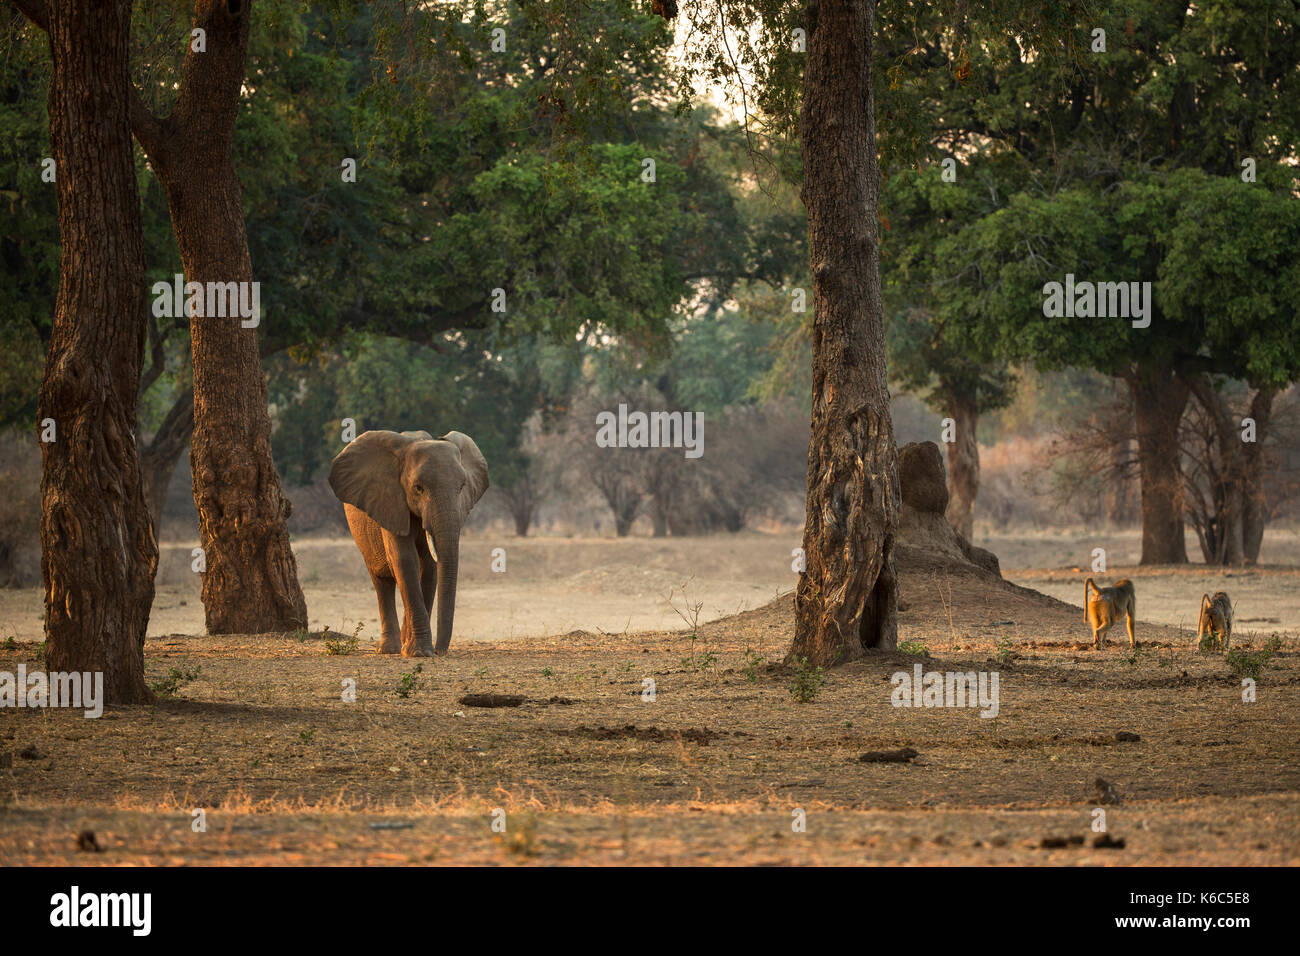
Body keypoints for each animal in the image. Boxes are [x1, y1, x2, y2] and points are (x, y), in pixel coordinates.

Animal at [325, 429, 488, 658]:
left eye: (462, 487)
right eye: (418, 488)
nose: (440, 651)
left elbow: (428, 566)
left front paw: (416, 650)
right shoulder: (391, 502)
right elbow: (405, 560)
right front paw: (420, 653)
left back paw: (402, 643)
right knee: (381, 582)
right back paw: (389, 649)